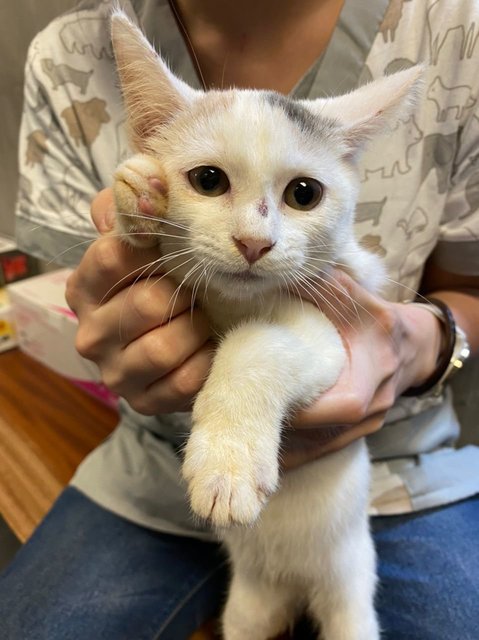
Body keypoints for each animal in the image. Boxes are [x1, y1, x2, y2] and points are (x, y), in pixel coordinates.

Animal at [110, 11, 422, 640]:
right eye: (207, 181)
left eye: (304, 193)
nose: (255, 243)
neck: (237, 303)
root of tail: (294, 591)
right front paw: (138, 193)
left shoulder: (339, 326)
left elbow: (259, 344)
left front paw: (226, 466)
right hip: (247, 609)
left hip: (349, 590)